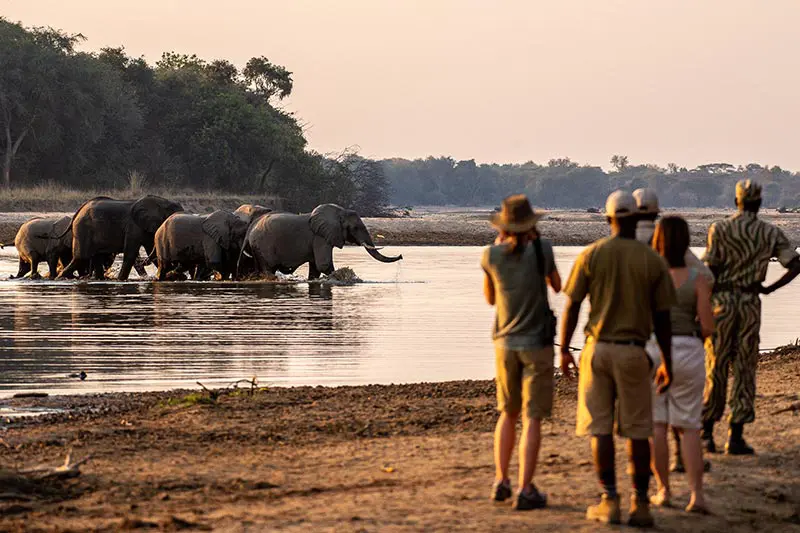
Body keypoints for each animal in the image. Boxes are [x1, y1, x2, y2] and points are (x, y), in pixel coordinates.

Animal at [239, 203, 402, 279]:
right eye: (356, 228)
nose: (401, 256)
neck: (339, 211)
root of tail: (251, 229)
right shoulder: (320, 237)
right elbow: (323, 265)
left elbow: (316, 269)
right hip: (264, 246)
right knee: (268, 269)